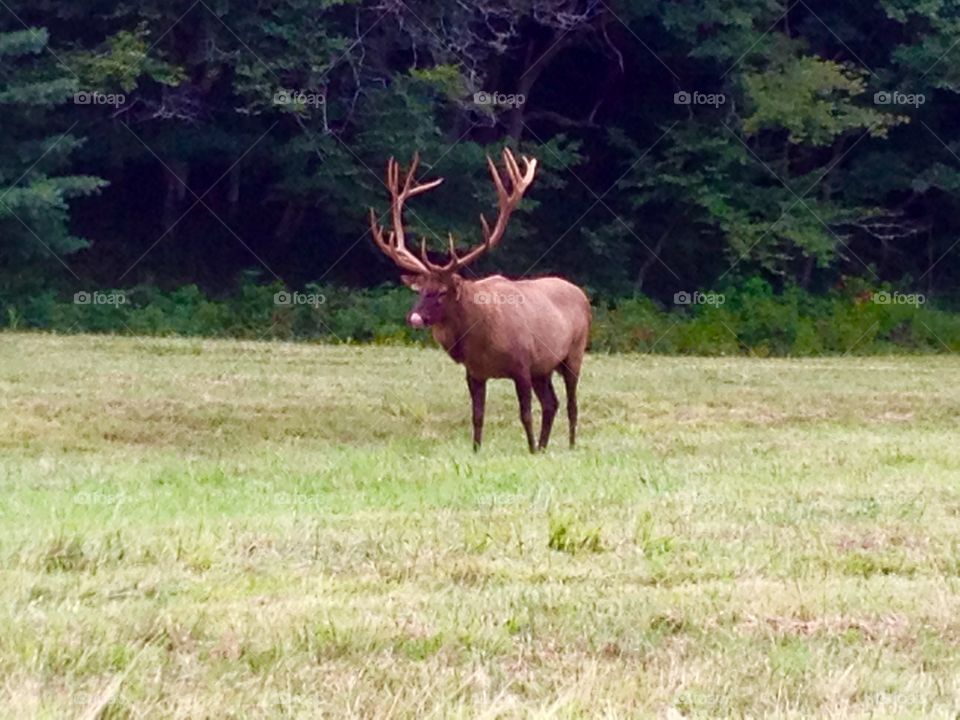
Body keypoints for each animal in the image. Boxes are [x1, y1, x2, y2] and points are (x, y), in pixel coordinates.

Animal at [370, 147, 588, 452]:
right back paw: (545, 447)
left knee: (570, 404)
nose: (414, 316)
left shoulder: (522, 364)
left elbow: (525, 414)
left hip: (573, 354)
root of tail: (581, 293)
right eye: (421, 290)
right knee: (551, 403)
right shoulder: (475, 372)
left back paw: (567, 445)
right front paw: (476, 450)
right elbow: (477, 415)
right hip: (543, 368)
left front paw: (530, 450)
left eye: (442, 291)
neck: (481, 338)